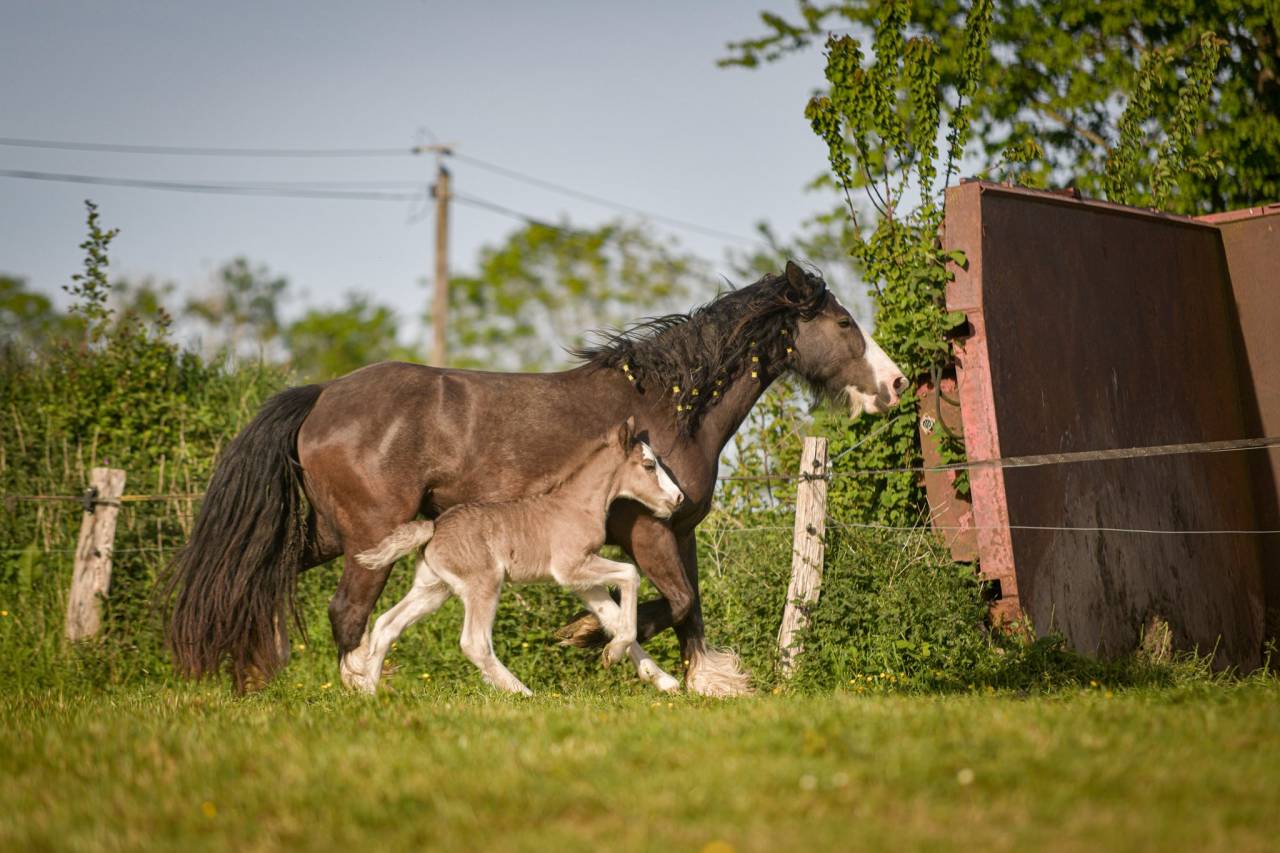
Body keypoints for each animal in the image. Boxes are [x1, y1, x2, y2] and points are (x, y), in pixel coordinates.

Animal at [348, 417, 684, 695]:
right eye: (649, 466)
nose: (678, 498)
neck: (577, 505)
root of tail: (433, 528)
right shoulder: (571, 567)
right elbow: (630, 574)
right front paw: (613, 653)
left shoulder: (581, 581)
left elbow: (612, 617)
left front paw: (662, 680)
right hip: (483, 582)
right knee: (473, 642)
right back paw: (521, 692)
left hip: (433, 589)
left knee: (386, 625)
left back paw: (369, 693)